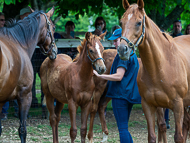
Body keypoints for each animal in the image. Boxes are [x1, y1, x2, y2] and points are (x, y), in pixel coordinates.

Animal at [117, 0, 190, 142]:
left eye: (139, 22)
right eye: (121, 22)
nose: (123, 50)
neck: (160, 67)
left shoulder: (178, 106)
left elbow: (178, 137)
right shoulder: (148, 105)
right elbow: (153, 134)